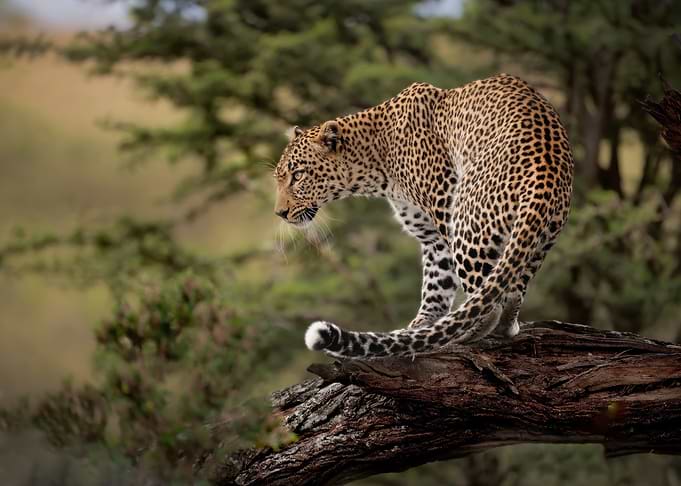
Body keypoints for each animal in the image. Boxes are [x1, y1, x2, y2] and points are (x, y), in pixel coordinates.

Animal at [273, 73, 573, 359]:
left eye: (297, 175)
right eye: (279, 178)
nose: (280, 213)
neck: (376, 161)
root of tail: (547, 172)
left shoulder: (443, 204)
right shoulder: (432, 236)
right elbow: (436, 282)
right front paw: (421, 326)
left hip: (466, 220)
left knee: (490, 303)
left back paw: (465, 333)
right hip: (538, 238)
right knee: (511, 297)